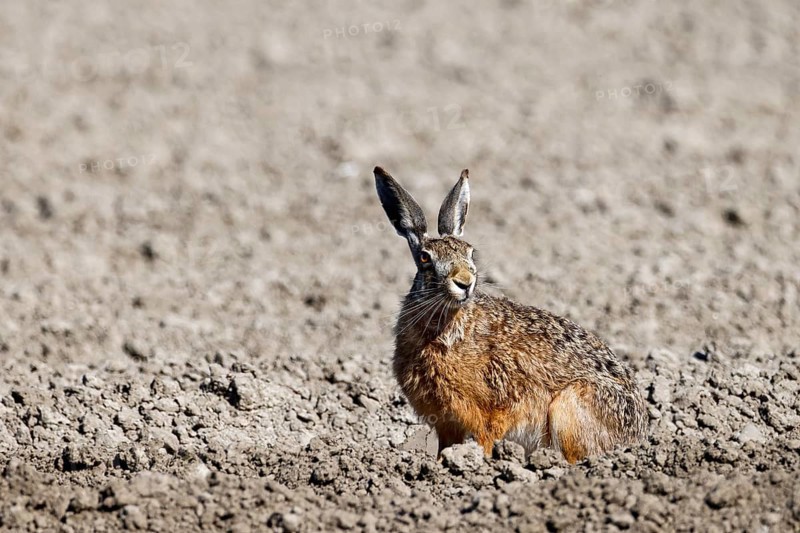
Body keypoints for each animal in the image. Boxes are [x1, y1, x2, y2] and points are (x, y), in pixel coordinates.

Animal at [374, 166, 647, 463]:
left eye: (471, 252)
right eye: (425, 258)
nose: (465, 282)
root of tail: (638, 437)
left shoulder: (490, 413)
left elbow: (487, 438)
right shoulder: (447, 424)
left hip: (569, 408)